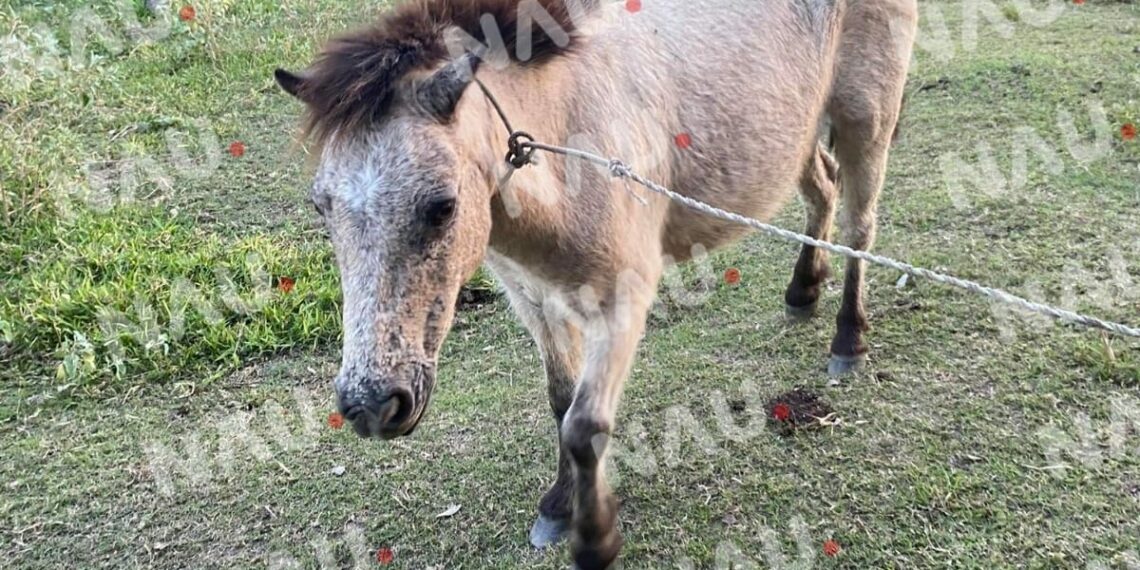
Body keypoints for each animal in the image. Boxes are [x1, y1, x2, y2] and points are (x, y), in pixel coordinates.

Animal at [274, 0, 917, 567]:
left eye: (441, 207)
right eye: (320, 206)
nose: (371, 405)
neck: (567, 136)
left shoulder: (622, 300)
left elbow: (585, 425)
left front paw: (595, 538)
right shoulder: (534, 298)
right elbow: (561, 402)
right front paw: (560, 506)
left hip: (865, 116)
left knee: (859, 225)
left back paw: (848, 339)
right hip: (794, 134)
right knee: (823, 189)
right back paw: (803, 290)